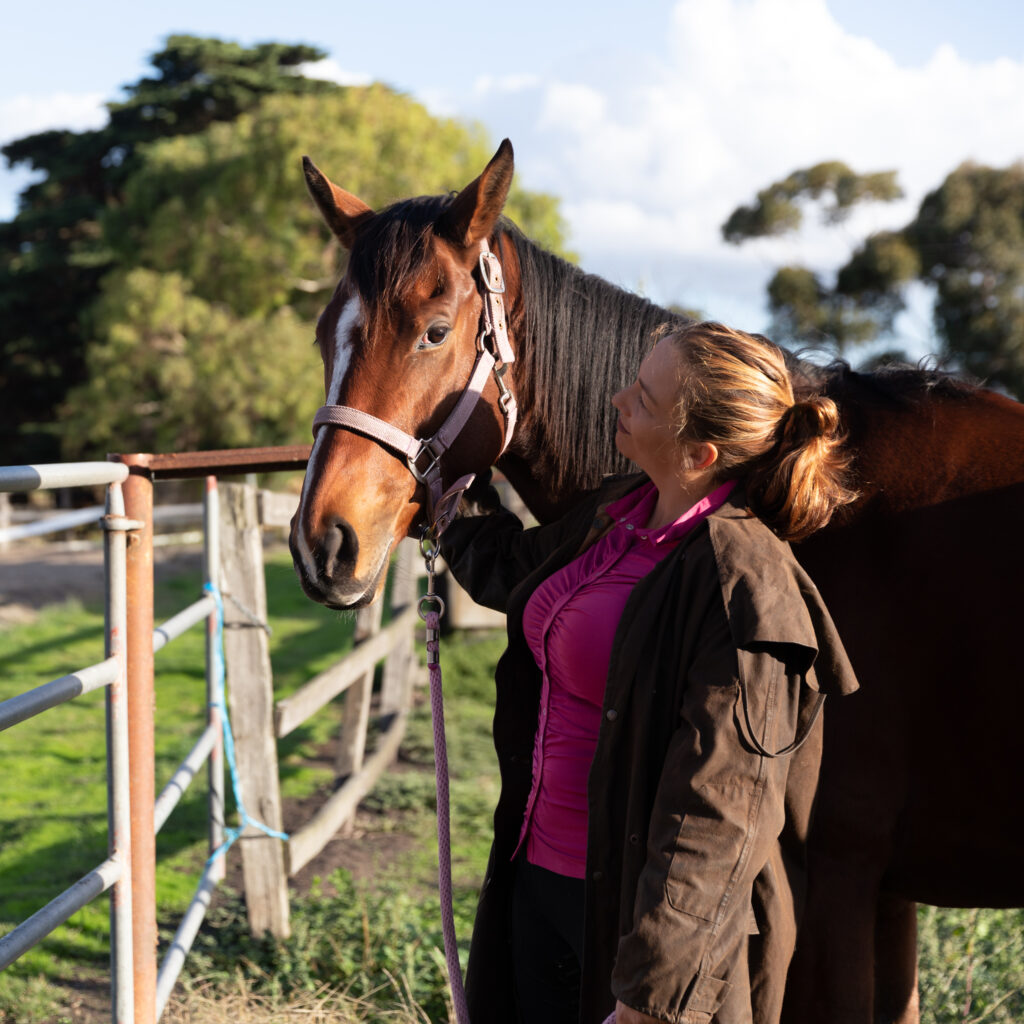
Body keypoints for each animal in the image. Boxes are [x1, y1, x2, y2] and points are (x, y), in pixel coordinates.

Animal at [286, 138, 1024, 1024]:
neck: (822, 508)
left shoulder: (840, 884)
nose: (324, 542)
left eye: (433, 331)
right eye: (325, 334)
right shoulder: (888, 897)